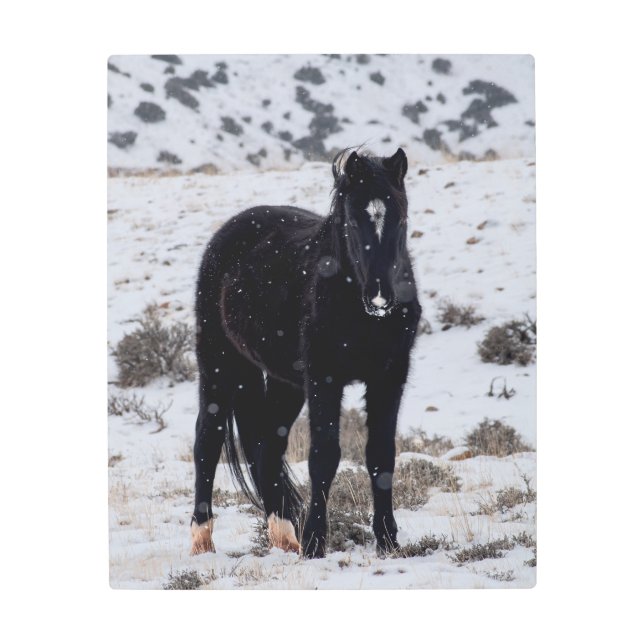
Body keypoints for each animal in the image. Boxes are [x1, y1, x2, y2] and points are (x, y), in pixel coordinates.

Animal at [190, 147, 422, 558]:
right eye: (352, 220)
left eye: (400, 215)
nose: (381, 298)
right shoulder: (325, 379)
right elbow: (324, 456)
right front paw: (315, 542)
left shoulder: (389, 377)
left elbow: (381, 456)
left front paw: (388, 539)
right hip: (219, 365)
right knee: (207, 440)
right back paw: (202, 540)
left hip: (286, 383)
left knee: (267, 448)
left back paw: (284, 535)